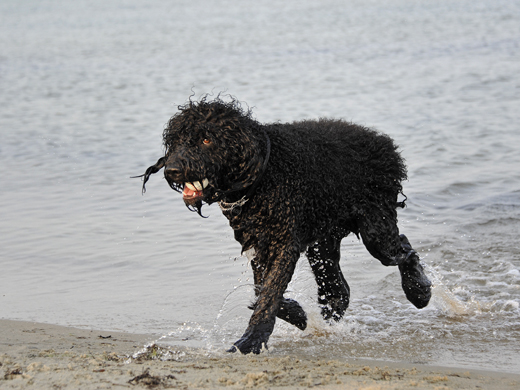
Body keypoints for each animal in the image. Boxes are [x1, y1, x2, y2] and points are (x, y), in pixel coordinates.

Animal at [137, 96, 430, 354]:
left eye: (207, 139)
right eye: (176, 141)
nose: (172, 170)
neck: (262, 175)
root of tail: (384, 142)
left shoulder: (284, 244)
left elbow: (269, 294)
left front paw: (251, 341)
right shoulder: (259, 246)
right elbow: (262, 291)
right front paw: (297, 314)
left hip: (375, 230)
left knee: (404, 248)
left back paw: (419, 291)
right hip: (323, 241)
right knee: (339, 288)